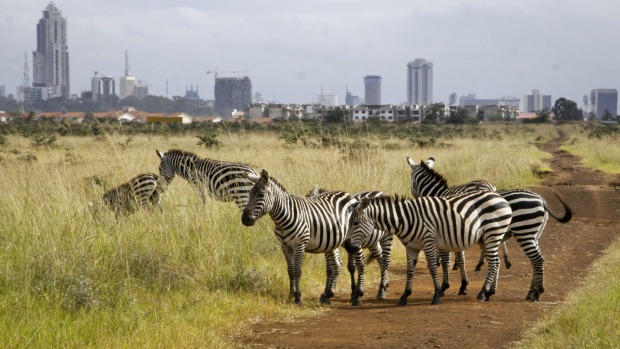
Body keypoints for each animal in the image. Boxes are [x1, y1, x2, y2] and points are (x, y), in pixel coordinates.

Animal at [240, 171, 360, 304]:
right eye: (249, 194)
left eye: (261, 194)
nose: (245, 219)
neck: (283, 218)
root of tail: (347, 194)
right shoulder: (285, 246)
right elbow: (290, 271)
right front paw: (291, 295)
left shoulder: (300, 244)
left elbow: (297, 271)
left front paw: (297, 297)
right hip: (333, 241)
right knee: (337, 265)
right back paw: (327, 294)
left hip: (354, 237)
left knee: (358, 263)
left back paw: (355, 296)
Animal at [348, 190, 512, 304]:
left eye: (355, 223)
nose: (350, 247)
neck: (406, 219)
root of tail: (500, 198)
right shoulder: (411, 247)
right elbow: (410, 270)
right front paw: (405, 295)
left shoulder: (428, 241)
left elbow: (433, 267)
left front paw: (437, 295)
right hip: (486, 238)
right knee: (496, 263)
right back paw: (489, 292)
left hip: (493, 234)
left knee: (494, 263)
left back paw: (483, 293)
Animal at [406, 154, 572, 300]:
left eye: (410, 180)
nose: (413, 197)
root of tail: (540, 199)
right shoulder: (456, 233)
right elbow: (461, 259)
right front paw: (463, 285)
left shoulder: (448, 232)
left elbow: (449, 260)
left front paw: (446, 286)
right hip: (534, 234)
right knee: (536, 261)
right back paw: (533, 291)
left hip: (524, 231)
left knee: (537, 259)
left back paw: (535, 293)